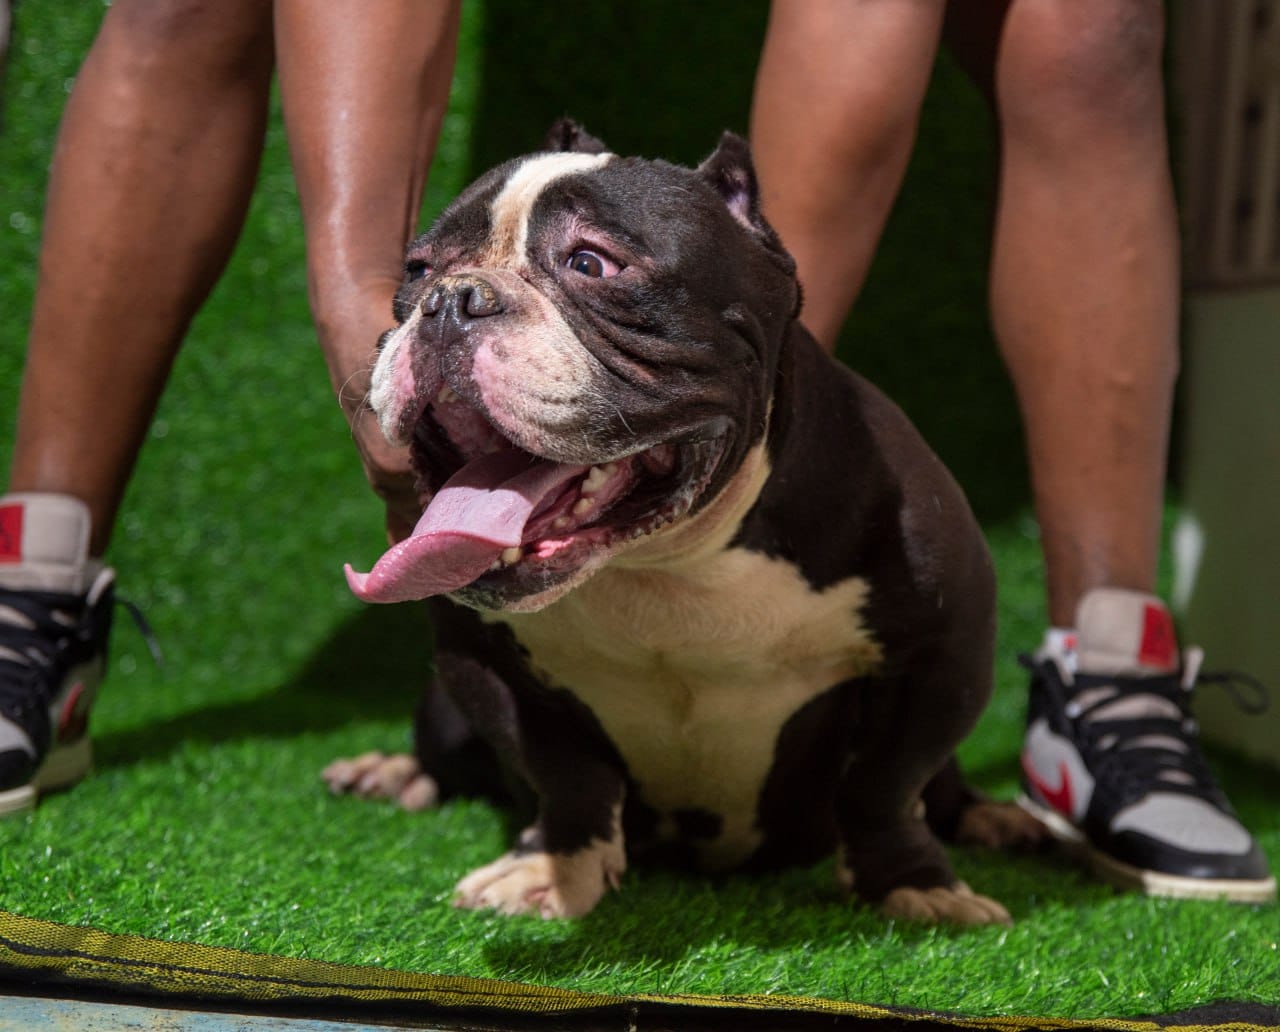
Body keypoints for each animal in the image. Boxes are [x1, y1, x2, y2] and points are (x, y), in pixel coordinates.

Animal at [327, 123, 1039, 927]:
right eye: (418, 269)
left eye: (591, 263)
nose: (450, 299)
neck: (667, 561)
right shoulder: (485, 662)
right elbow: (564, 774)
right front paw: (551, 867)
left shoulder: (942, 656)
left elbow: (885, 787)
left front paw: (912, 883)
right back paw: (397, 771)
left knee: (937, 790)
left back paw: (994, 817)